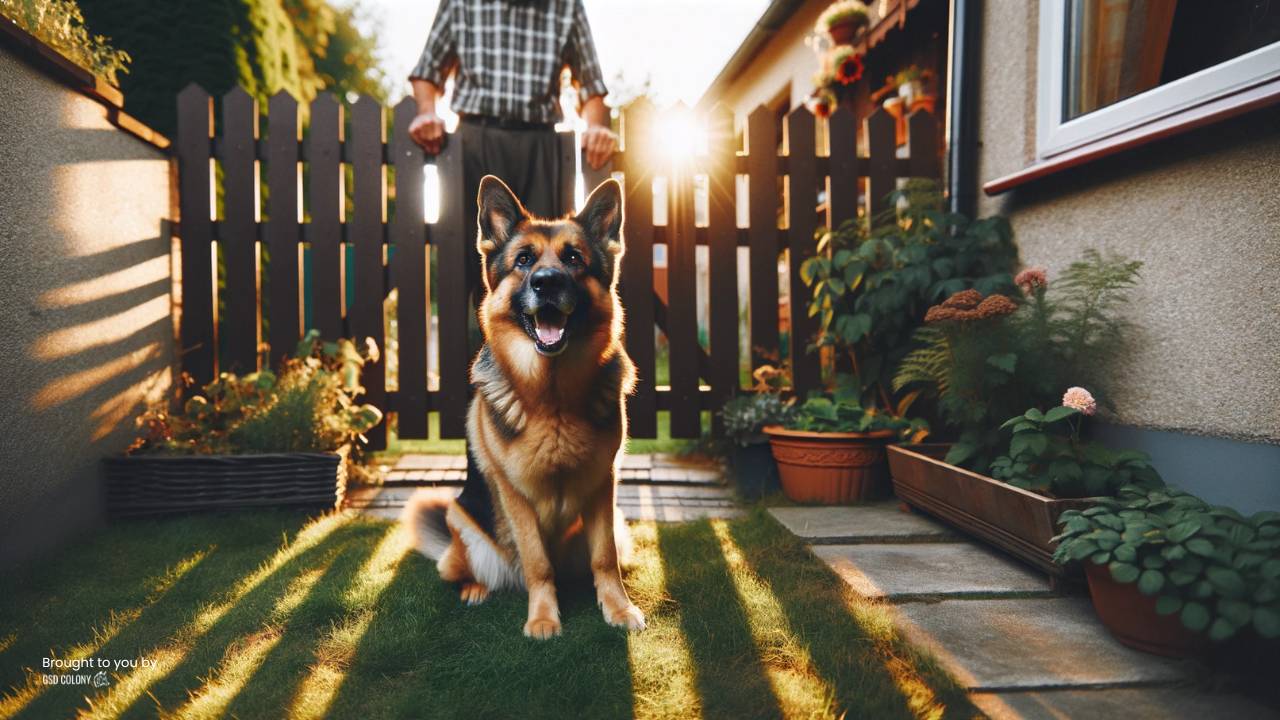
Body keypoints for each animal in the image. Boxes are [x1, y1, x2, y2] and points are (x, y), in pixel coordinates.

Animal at [404, 176, 645, 635]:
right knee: (474, 569)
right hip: (462, 523)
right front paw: (544, 617)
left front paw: (618, 607)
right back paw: (476, 589)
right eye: (523, 260)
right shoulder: (516, 497)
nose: (546, 282)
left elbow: (604, 558)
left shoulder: (602, 487)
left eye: (574, 258)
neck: (553, 399)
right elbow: (537, 563)